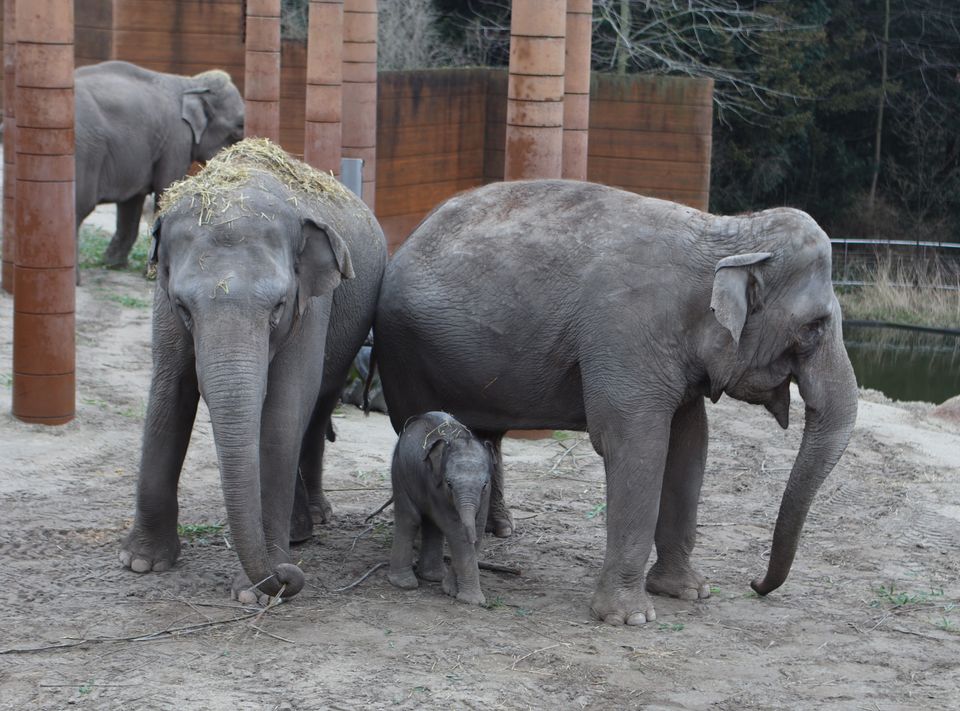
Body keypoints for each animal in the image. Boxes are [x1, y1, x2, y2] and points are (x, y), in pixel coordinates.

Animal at [77, 61, 246, 272]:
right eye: (238, 129)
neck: (190, 83)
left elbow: (131, 203)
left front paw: (112, 265)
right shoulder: (177, 139)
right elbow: (165, 189)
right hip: (87, 151)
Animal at [120, 138, 386, 600]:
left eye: (277, 306)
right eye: (184, 307)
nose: (287, 578)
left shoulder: (311, 303)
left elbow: (283, 408)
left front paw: (254, 591)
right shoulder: (162, 301)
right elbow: (170, 391)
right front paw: (141, 563)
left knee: (319, 405)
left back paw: (313, 521)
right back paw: (300, 533)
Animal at [388, 412, 496, 608]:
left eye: (484, 484)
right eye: (449, 484)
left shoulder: (487, 494)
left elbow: (478, 527)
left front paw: (450, 590)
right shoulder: (435, 485)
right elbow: (456, 530)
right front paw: (472, 600)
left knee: (431, 524)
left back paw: (433, 577)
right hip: (399, 473)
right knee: (410, 519)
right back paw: (405, 584)